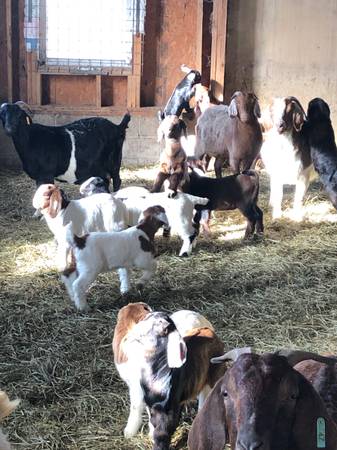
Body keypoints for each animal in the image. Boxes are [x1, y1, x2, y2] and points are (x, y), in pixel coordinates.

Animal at [0, 101, 130, 191]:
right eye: (2, 115)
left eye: (19, 115)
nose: (9, 129)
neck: (31, 139)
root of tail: (118, 127)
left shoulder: (46, 174)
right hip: (100, 167)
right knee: (105, 180)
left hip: (114, 161)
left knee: (117, 180)